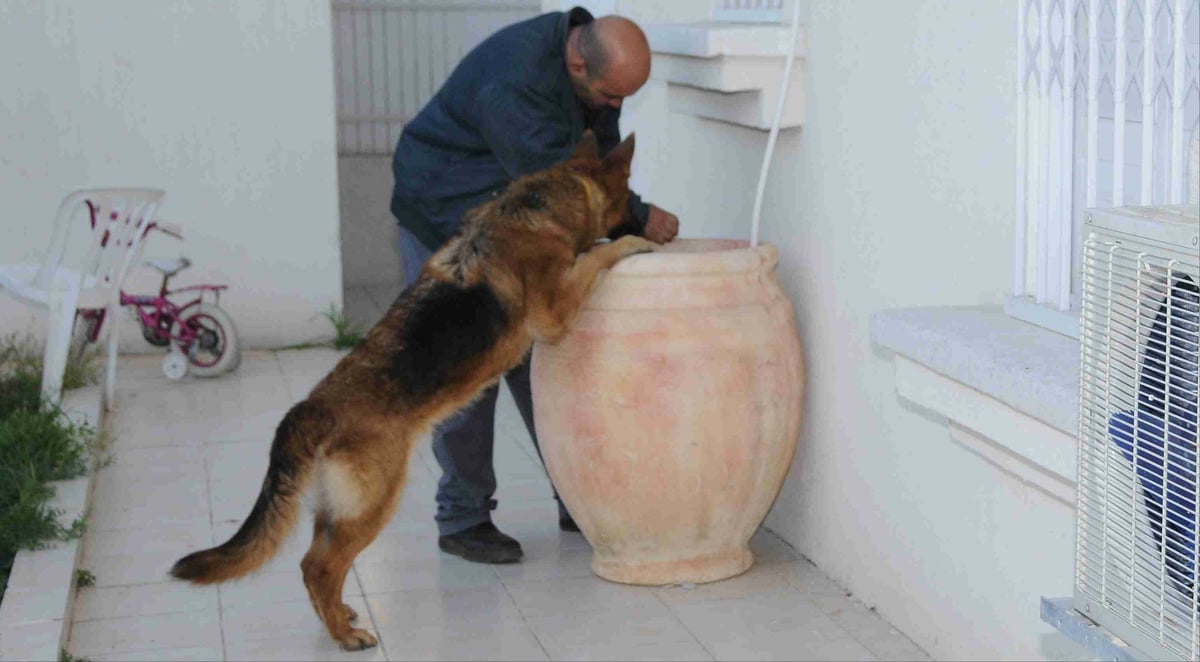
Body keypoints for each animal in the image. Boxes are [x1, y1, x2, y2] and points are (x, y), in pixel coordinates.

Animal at [170, 130, 657, 652]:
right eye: (632, 197)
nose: (664, 222)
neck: (541, 201)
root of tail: (310, 408)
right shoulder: (555, 312)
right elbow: (596, 254)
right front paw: (633, 241)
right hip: (376, 502)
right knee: (319, 565)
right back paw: (347, 636)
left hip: (339, 508)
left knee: (315, 563)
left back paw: (339, 616)